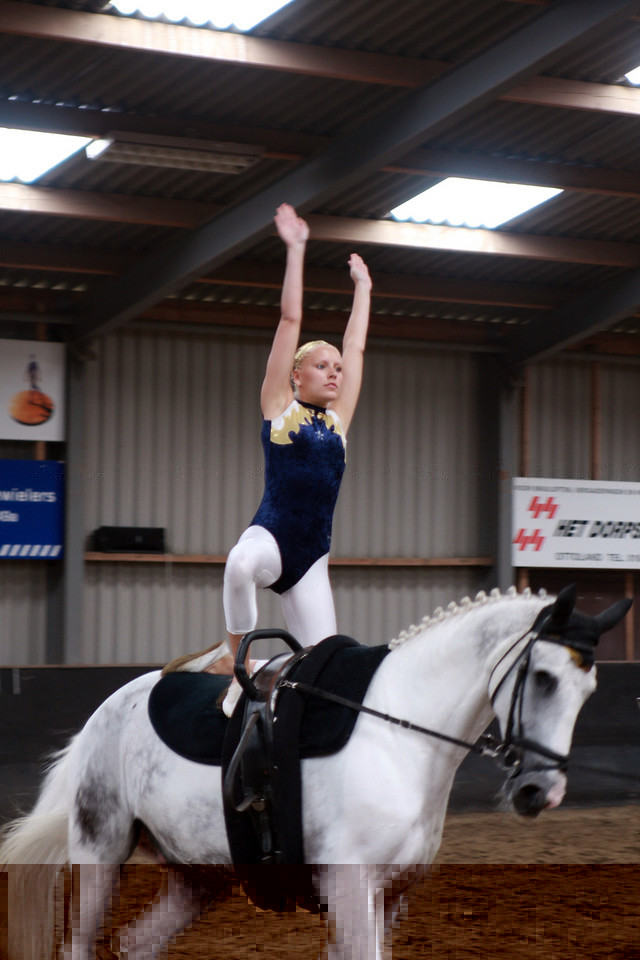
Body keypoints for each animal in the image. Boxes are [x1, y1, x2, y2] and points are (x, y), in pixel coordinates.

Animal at [0, 584, 631, 960]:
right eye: (544, 677)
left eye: (589, 688)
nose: (540, 791)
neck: (396, 733)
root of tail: (108, 709)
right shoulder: (351, 889)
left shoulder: (389, 899)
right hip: (99, 853)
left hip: (197, 878)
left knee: (135, 945)